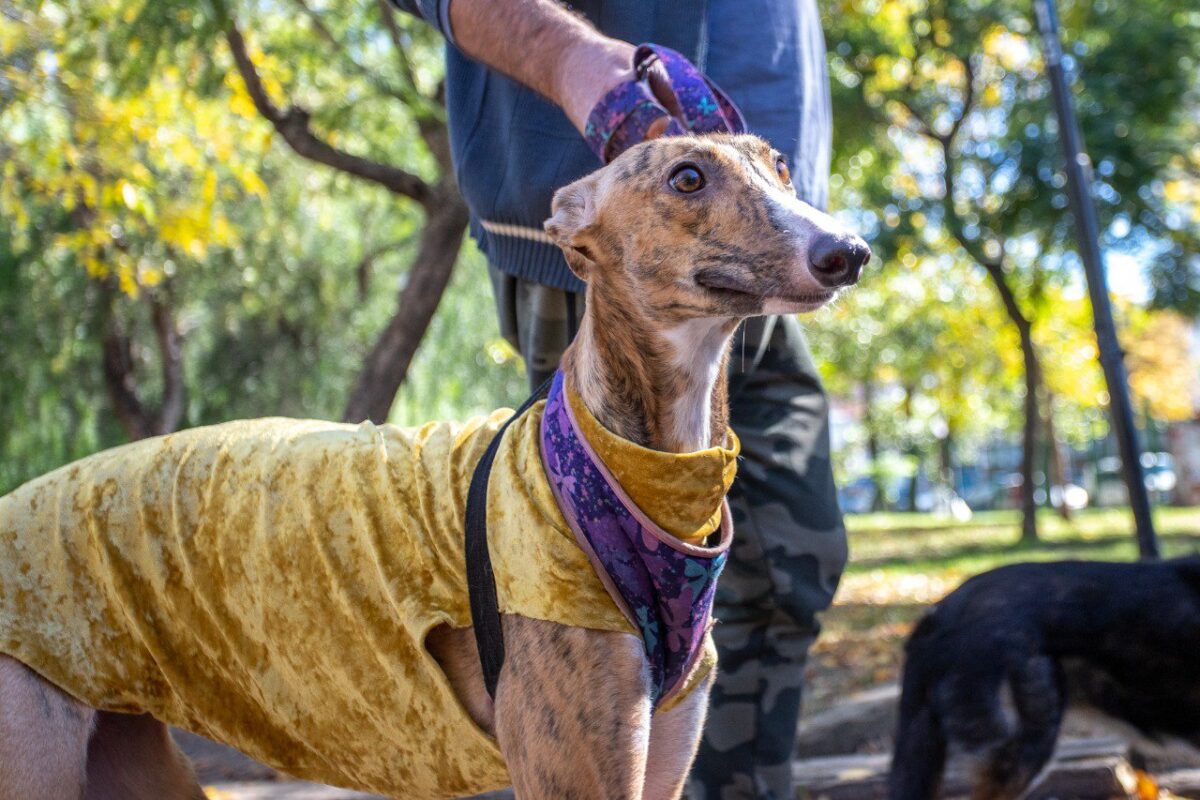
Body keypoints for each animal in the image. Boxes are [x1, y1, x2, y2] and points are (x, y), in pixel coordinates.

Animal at [0, 134, 868, 796]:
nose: (850, 251)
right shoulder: (574, 764)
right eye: (687, 177)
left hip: (130, 759)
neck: (605, 466)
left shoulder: (663, 750)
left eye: (781, 166)